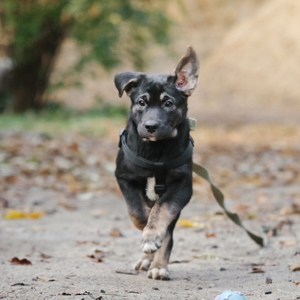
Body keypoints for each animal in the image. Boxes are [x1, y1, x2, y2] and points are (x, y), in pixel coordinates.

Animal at [114, 47, 199, 282]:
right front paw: (146, 232)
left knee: (168, 230)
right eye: (141, 102)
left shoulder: (183, 186)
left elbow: (162, 210)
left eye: (168, 104)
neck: (156, 151)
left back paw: (159, 266)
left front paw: (152, 236)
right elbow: (137, 211)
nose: (151, 126)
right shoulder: (124, 177)